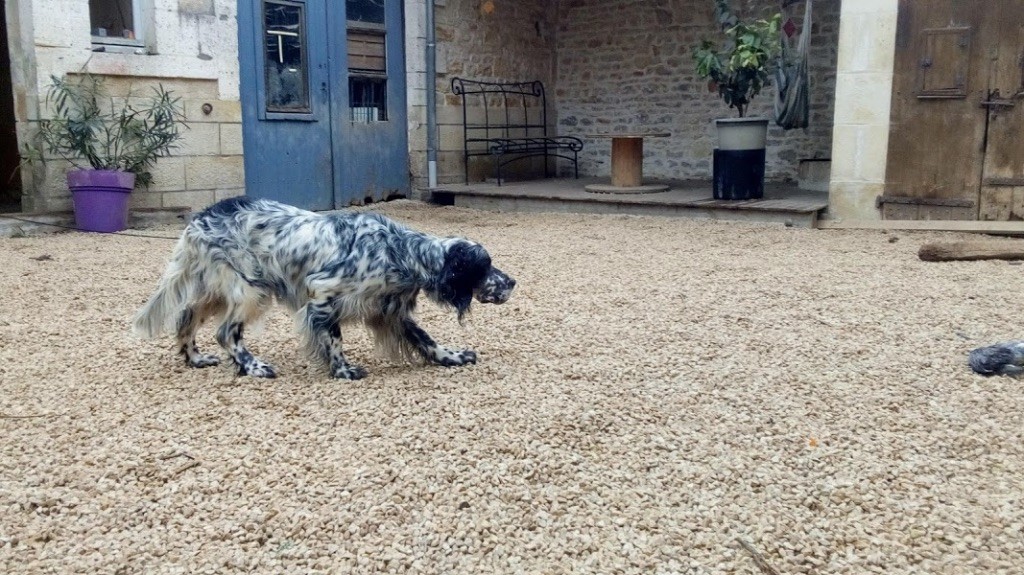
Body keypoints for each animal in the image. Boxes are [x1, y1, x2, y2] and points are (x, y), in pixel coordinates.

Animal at [133, 197, 516, 379]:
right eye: (486, 267)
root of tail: (200, 218)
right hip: (252, 290)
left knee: (186, 319)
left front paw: (452, 357)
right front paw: (343, 370)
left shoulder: (390, 310)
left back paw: (196, 359)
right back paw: (254, 367)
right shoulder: (323, 295)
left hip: (216, 289)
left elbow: (426, 340)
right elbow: (333, 338)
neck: (400, 251)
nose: (512, 282)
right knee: (226, 332)